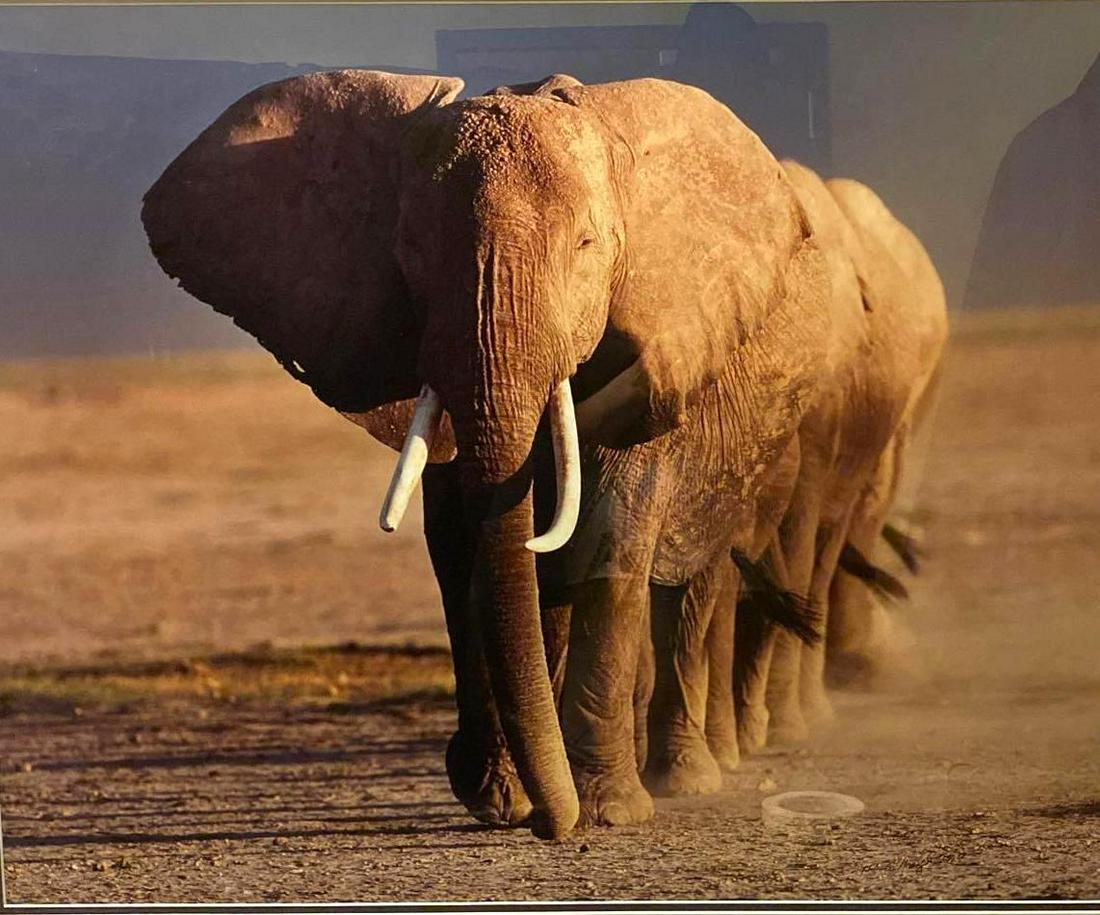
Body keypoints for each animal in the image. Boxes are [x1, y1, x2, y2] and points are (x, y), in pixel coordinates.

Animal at [141, 69, 832, 837]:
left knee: (694, 578)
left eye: (587, 244)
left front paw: (605, 810)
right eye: (410, 248)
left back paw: (682, 778)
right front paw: (500, 800)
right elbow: (464, 543)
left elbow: (613, 530)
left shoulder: (667, 335)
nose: (552, 827)